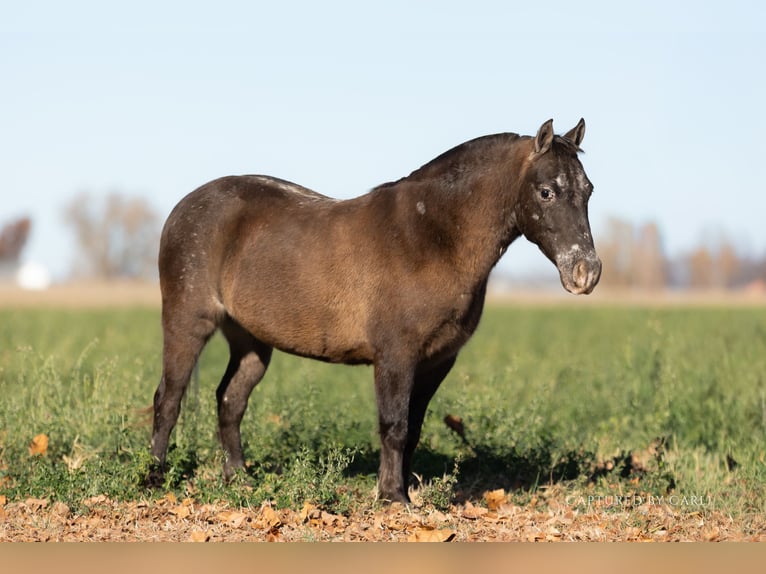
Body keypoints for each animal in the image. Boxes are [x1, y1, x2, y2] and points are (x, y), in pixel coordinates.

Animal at [147, 118, 602, 503]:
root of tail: (184, 208)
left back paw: (238, 478)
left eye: (589, 190)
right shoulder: (395, 356)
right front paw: (392, 497)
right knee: (168, 399)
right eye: (546, 191)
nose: (586, 273)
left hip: (251, 341)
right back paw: (154, 478)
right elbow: (394, 425)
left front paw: (404, 490)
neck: (430, 238)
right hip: (188, 323)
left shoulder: (437, 361)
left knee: (230, 400)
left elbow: (413, 428)